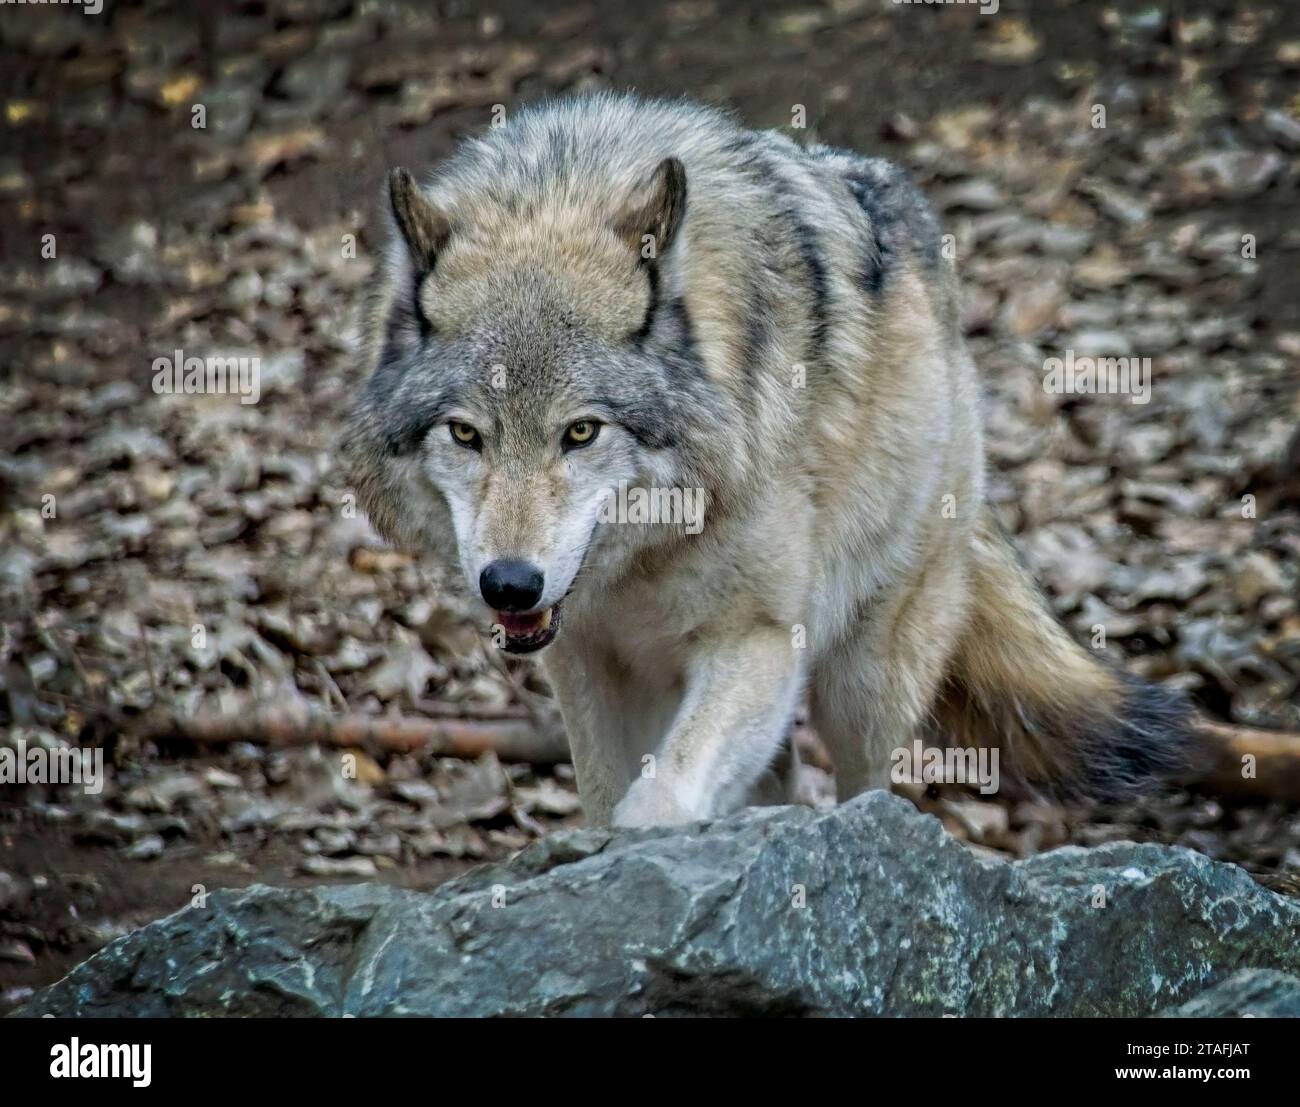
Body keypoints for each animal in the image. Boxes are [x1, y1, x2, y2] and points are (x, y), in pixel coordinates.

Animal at [345, 92, 1196, 821]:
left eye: (581, 432)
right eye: (466, 434)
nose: (510, 584)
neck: (645, 556)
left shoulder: (757, 639)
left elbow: (658, 798)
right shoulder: (585, 660)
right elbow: (607, 797)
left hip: (865, 678)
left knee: (868, 785)